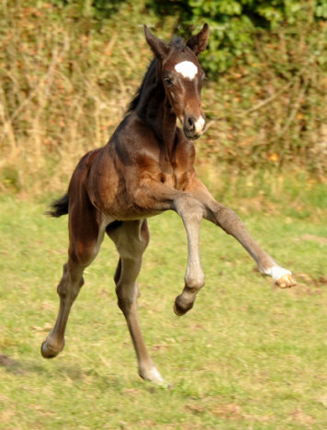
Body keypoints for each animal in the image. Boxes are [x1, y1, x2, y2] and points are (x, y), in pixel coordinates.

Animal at [41, 25, 298, 384]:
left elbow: (225, 214)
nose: (195, 124)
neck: (162, 138)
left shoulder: (189, 180)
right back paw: (51, 345)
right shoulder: (141, 191)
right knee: (71, 280)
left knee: (125, 291)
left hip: (133, 239)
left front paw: (278, 272)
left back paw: (150, 371)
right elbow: (189, 207)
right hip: (86, 237)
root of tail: (82, 167)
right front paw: (186, 295)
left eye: (201, 75)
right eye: (168, 79)